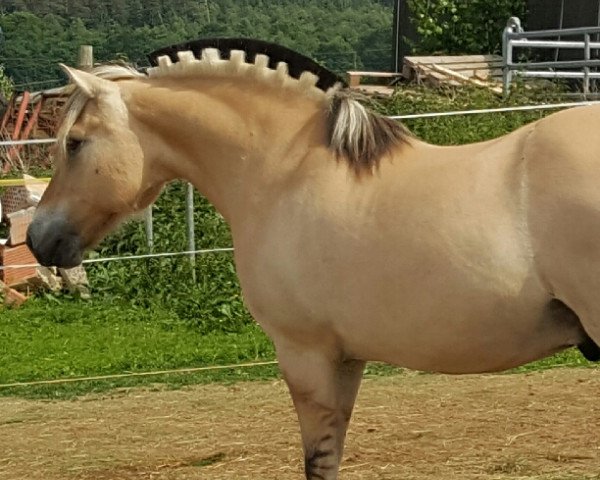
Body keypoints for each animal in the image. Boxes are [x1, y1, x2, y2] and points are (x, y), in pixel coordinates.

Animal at [29, 39, 600, 478]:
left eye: (74, 143)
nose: (37, 239)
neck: (285, 173)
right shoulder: (345, 359)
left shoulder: (305, 355)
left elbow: (318, 462)